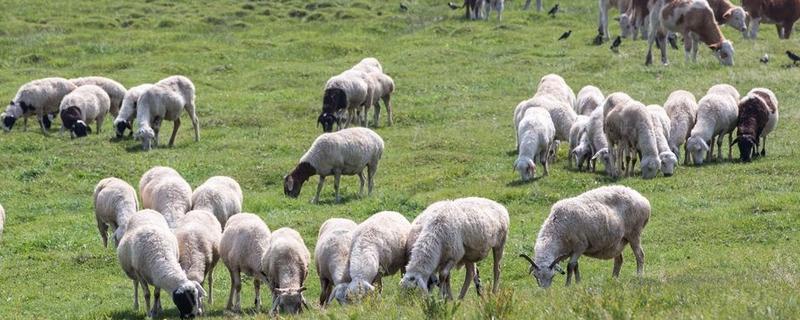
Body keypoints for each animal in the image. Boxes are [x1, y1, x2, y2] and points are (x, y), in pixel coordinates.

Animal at [520, 185, 652, 288]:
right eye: (535, 276)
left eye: (552, 276)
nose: (545, 292)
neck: (557, 228)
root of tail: (643, 199)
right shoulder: (573, 250)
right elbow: (576, 266)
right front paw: (578, 283)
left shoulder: (580, 246)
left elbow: (570, 266)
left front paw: (568, 285)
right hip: (618, 241)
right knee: (619, 260)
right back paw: (613, 278)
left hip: (634, 233)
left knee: (640, 255)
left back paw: (639, 275)